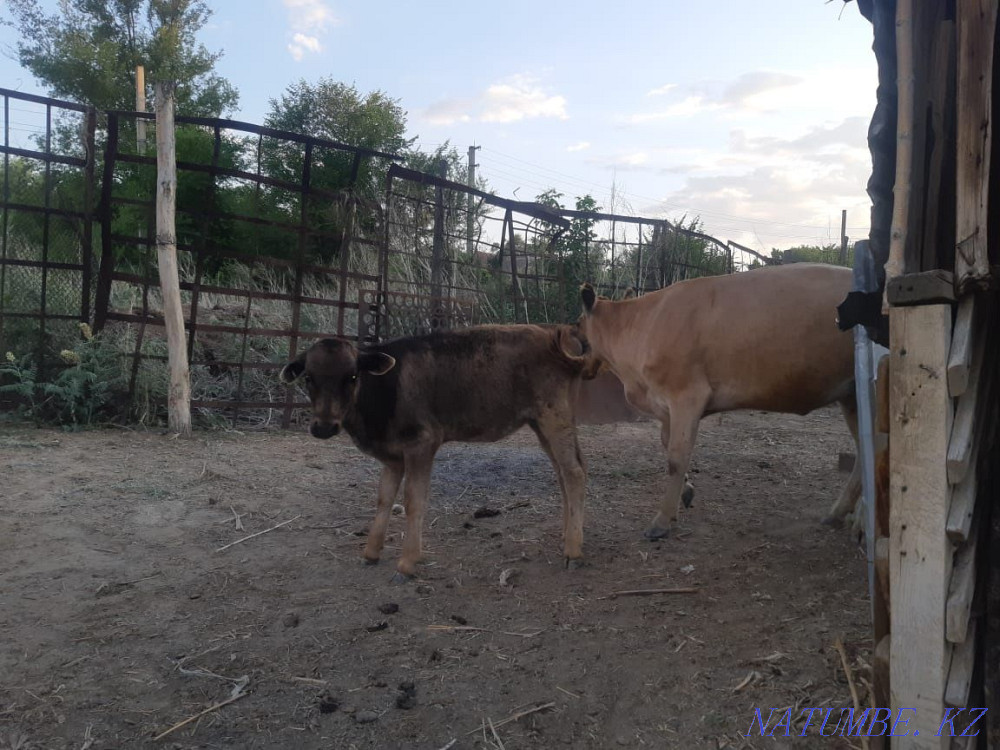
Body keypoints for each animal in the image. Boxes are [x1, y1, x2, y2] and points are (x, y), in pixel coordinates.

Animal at [280, 324, 590, 581]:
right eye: (308, 378)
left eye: (352, 376)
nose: (324, 427)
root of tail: (553, 335)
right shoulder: (392, 457)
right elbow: (384, 498)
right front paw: (371, 553)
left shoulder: (422, 443)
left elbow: (413, 500)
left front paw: (407, 563)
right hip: (541, 423)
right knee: (564, 472)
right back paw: (568, 536)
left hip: (554, 415)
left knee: (573, 472)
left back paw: (573, 551)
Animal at [577, 263, 859, 540]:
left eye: (577, 325)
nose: (582, 369)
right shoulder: (667, 406)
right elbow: (667, 444)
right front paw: (686, 491)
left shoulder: (687, 396)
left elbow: (676, 456)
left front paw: (662, 521)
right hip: (851, 397)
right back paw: (838, 514)